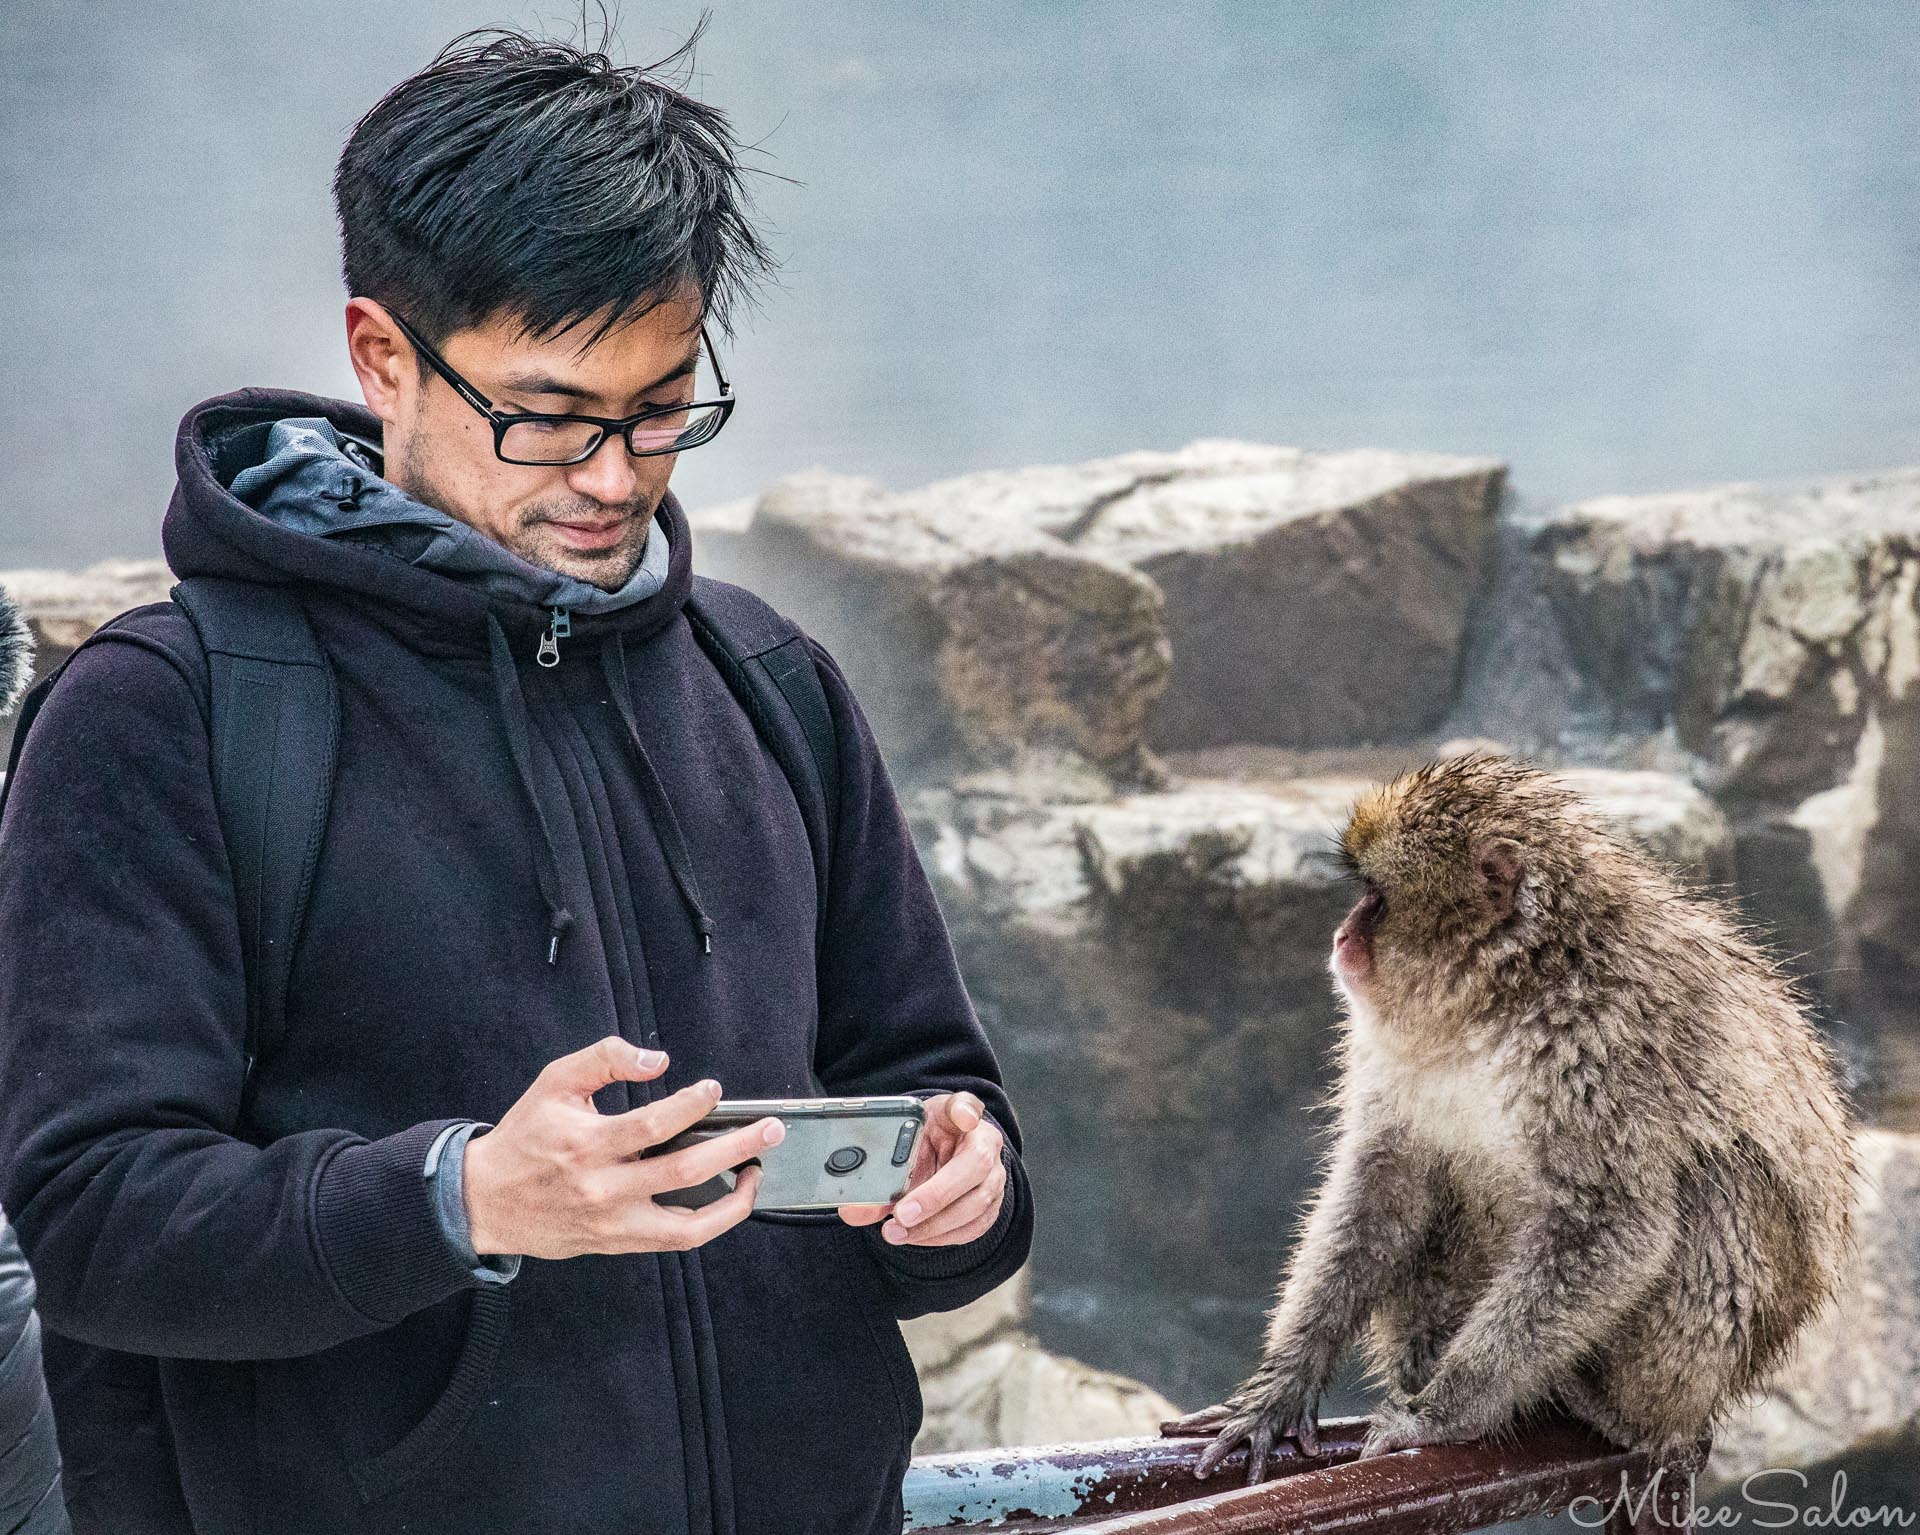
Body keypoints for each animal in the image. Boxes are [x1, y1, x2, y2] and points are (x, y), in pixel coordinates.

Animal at [1166, 753, 1854, 1483]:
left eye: (1377, 894)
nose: (1345, 931)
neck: (1500, 997)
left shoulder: (1603, 1046)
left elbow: (1612, 1224)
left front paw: (1439, 1413)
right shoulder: (1388, 1041)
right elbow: (1382, 1185)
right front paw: (1280, 1387)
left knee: (1720, 1186)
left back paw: (1608, 1409)